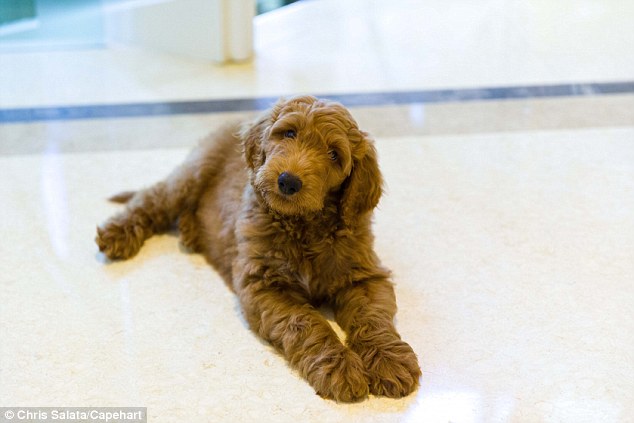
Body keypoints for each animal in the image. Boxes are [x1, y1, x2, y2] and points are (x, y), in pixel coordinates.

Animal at [95, 96, 420, 404]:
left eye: (334, 154)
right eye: (289, 133)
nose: (288, 181)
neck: (303, 225)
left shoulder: (364, 274)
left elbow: (372, 316)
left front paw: (389, 359)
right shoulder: (264, 285)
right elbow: (306, 323)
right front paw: (338, 366)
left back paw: (190, 231)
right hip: (193, 172)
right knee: (153, 199)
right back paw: (116, 234)